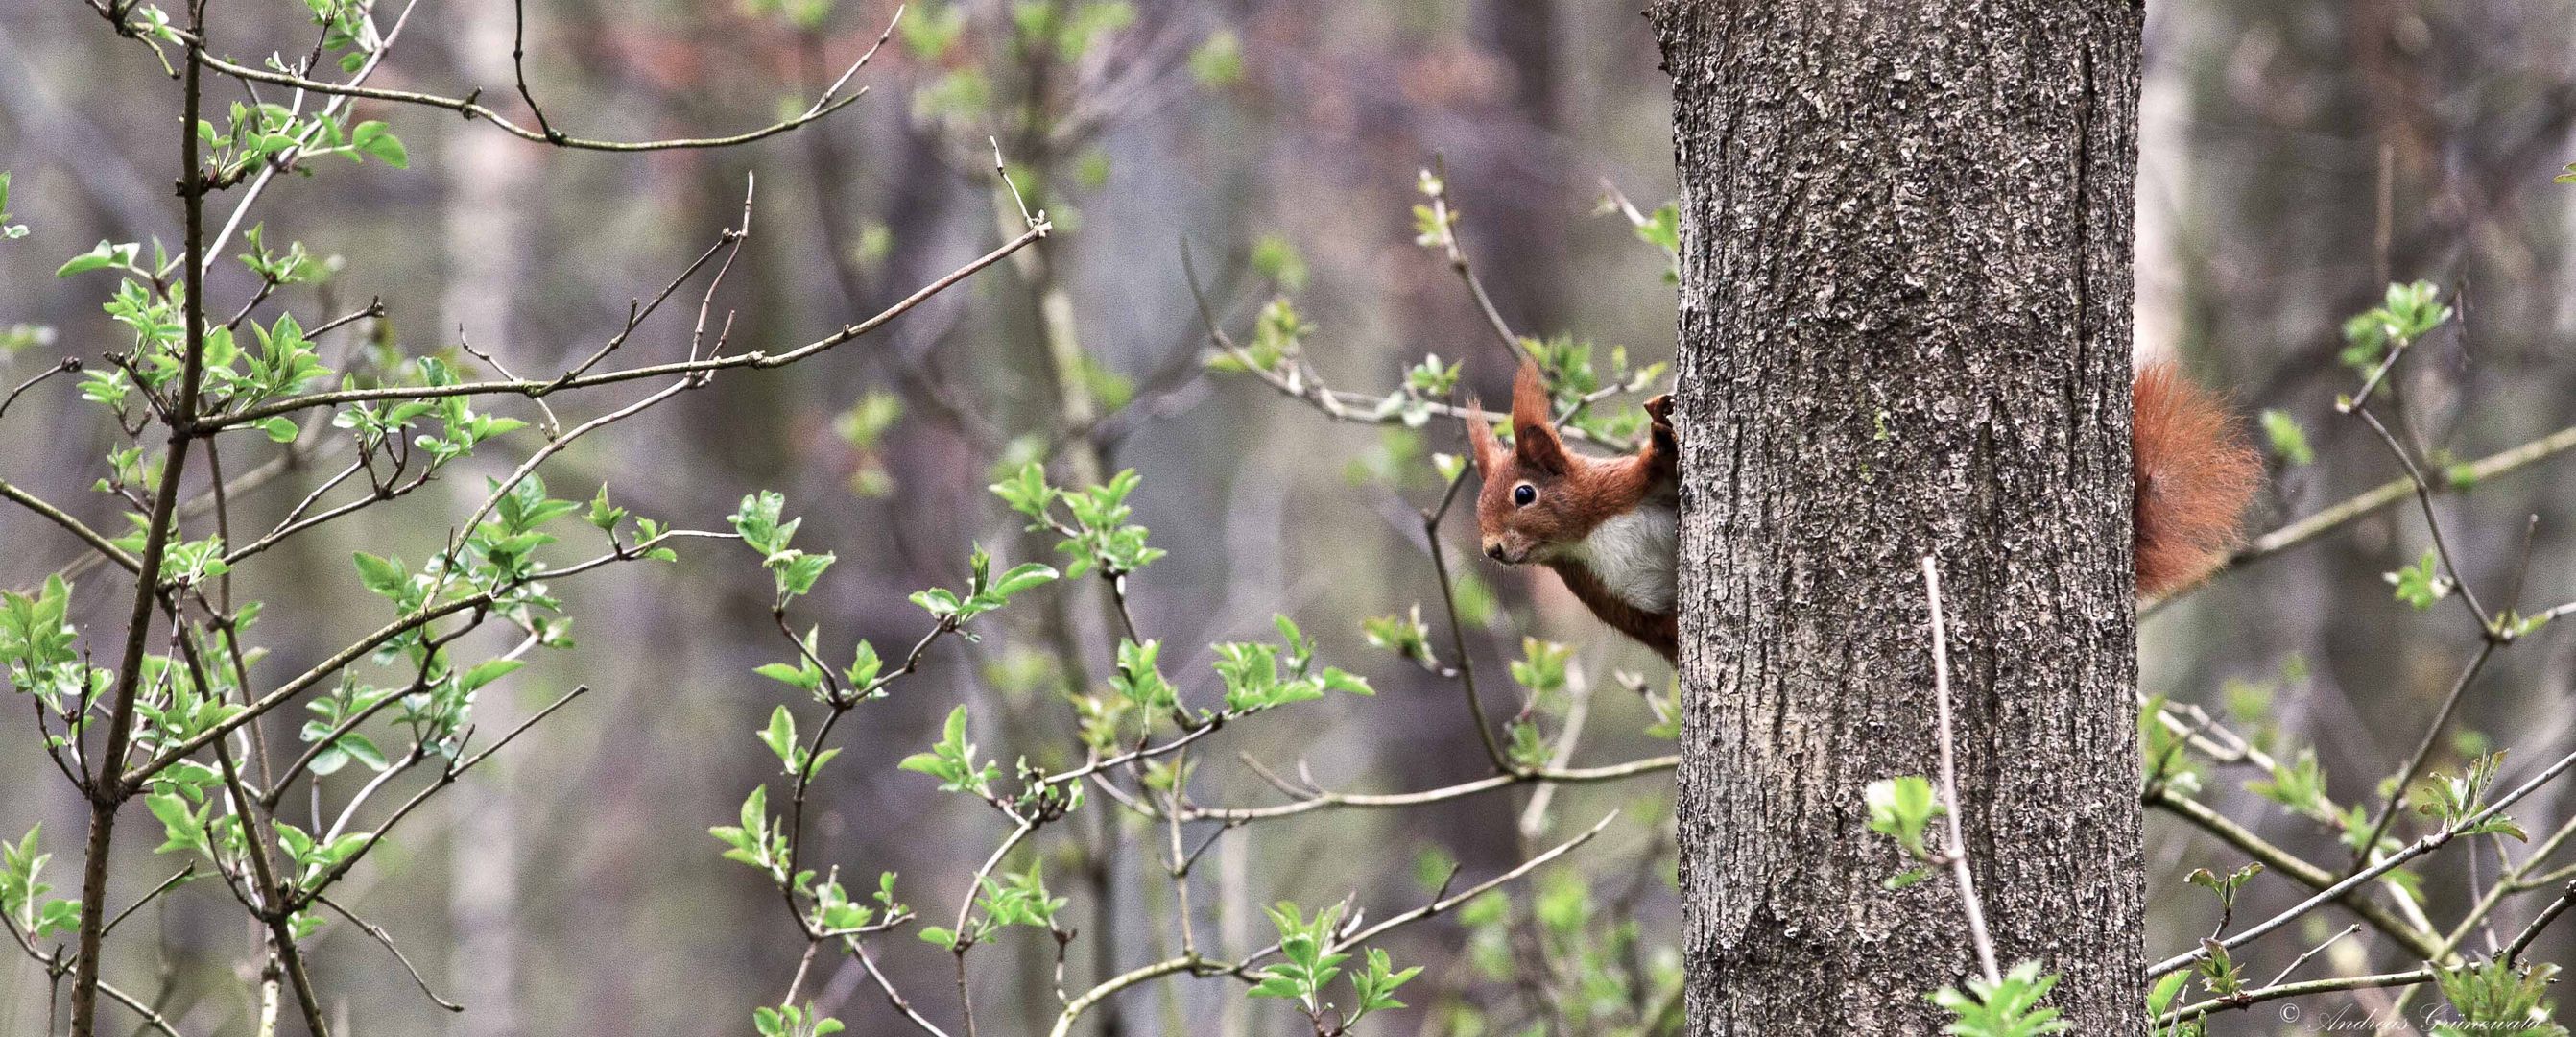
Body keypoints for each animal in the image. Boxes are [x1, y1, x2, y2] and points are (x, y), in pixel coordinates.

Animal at [1473, 361, 2256, 660]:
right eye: (1479, 507)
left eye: (1522, 495)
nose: (1491, 550)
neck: (1587, 533)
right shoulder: (1604, 593)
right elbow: (1654, 631)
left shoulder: (1627, 490)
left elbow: (1658, 465)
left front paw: (1663, 423)